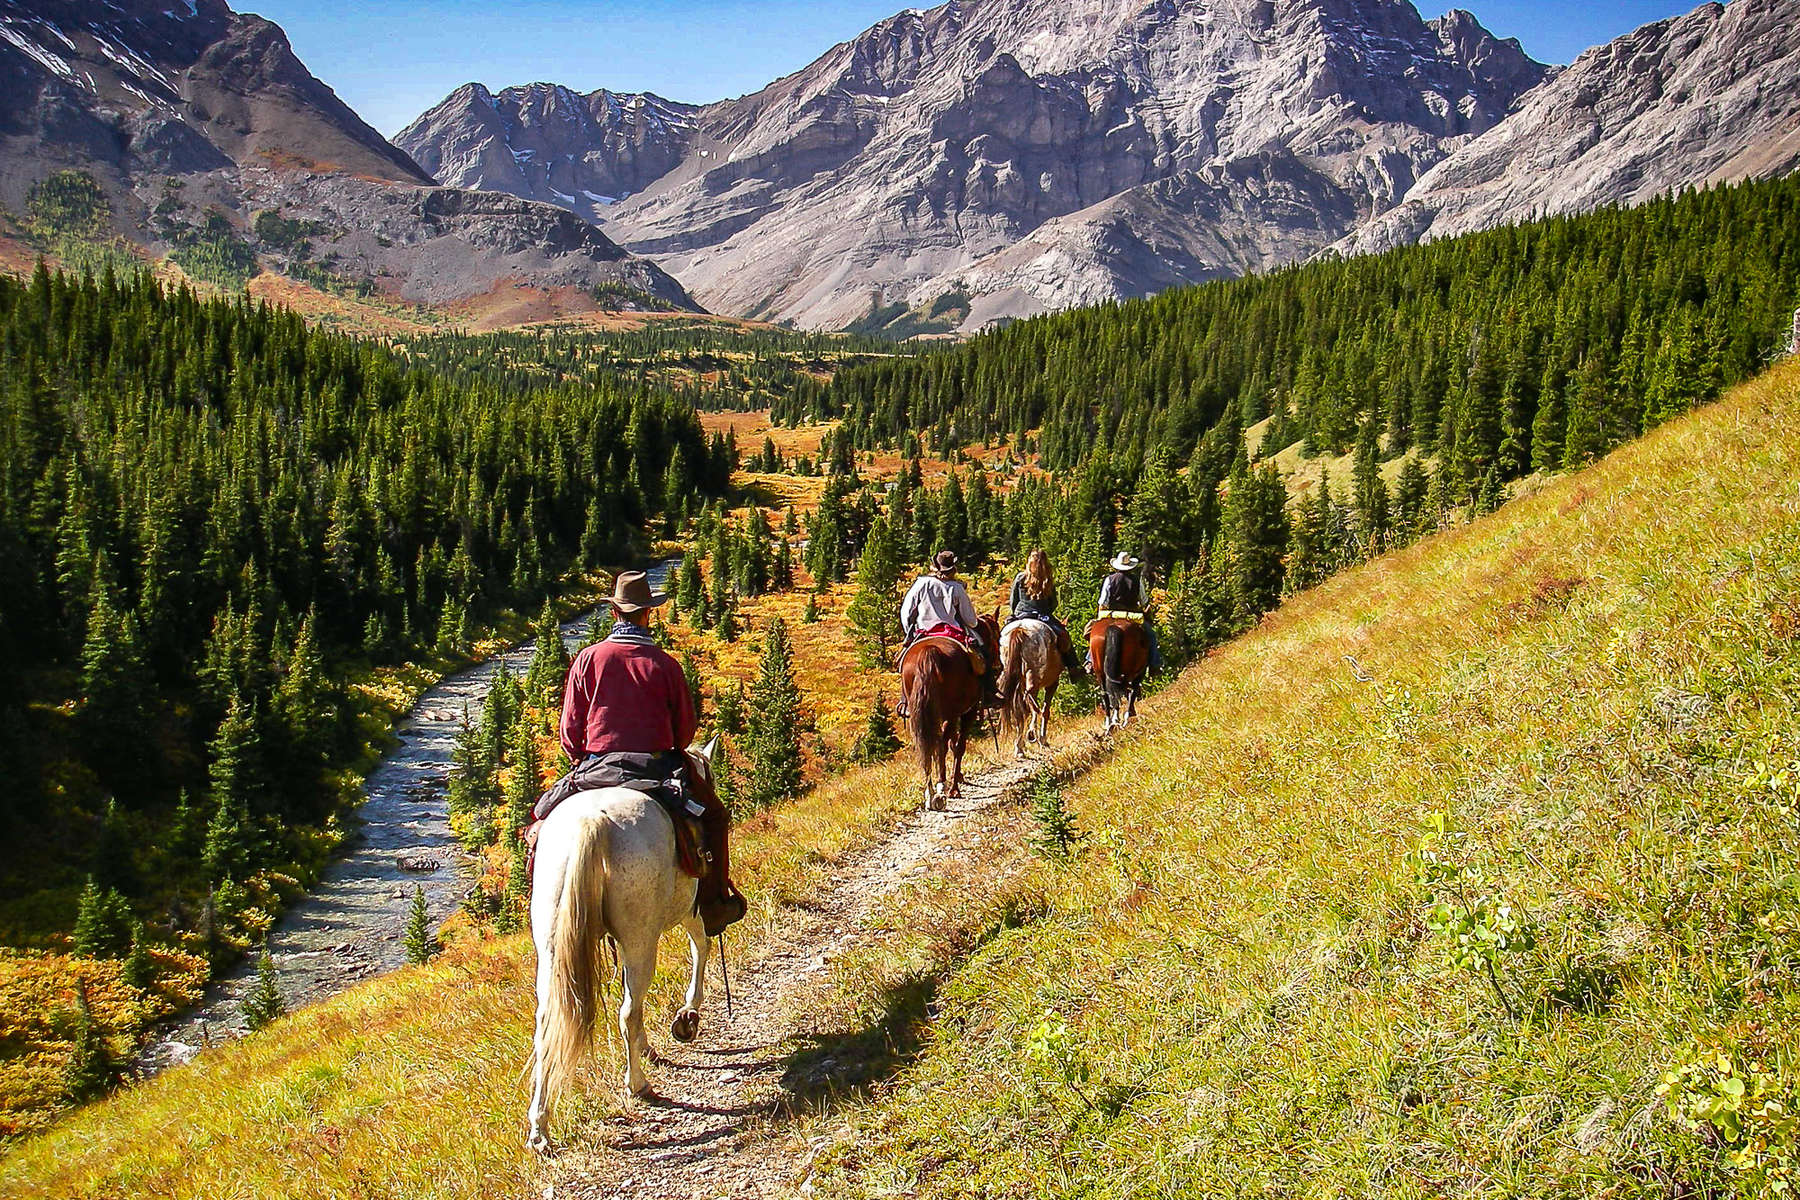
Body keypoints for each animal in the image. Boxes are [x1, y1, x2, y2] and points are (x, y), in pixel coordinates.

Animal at [522, 737, 716, 1151]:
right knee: (629, 1010)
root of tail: (591, 823)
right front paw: (687, 1016)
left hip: (551, 946)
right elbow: (701, 947)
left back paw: (539, 1129)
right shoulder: (689, 908)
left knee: (547, 1024)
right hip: (641, 938)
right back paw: (638, 1084)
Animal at [896, 615, 1000, 813]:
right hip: (952, 713)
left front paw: (958, 777)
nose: (999, 665)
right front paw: (955, 787)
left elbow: (952, 743)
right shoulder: (968, 711)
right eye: (997, 635)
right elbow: (959, 746)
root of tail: (929, 652)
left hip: (924, 715)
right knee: (940, 746)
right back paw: (942, 791)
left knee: (927, 746)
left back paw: (929, 793)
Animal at [993, 618, 1058, 759]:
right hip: (1032, 676)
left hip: (1014, 677)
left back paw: (1020, 747)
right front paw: (1043, 741)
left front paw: (1021, 745)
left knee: (1020, 711)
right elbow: (1045, 710)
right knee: (1032, 703)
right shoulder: (1052, 683)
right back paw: (1032, 733)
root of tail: (1020, 629)